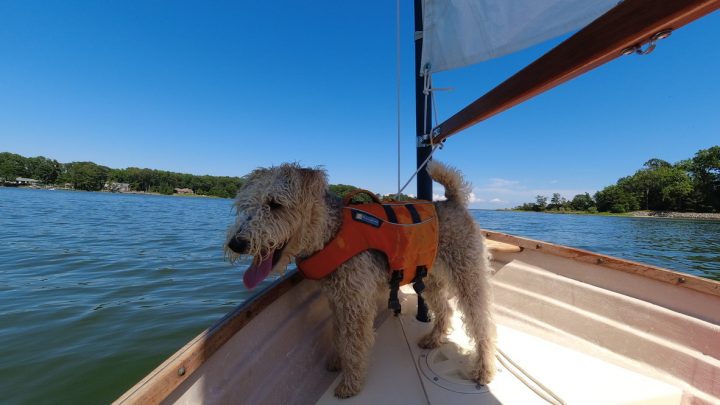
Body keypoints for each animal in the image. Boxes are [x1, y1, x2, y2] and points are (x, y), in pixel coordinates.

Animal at [225, 160, 496, 398]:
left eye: (275, 204)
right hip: (430, 278)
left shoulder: (355, 304)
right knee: (445, 310)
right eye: (245, 205)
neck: (331, 233)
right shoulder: (338, 299)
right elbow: (338, 335)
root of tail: (453, 200)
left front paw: (350, 385)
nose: (236, 243)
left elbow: (353, 345)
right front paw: (336, 361)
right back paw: (433, 339)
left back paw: (483, 371)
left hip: (468, 275)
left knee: (482, 324)